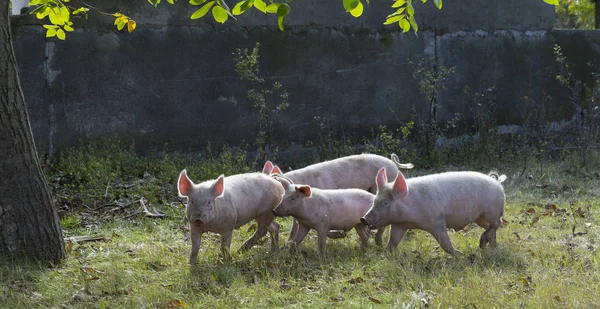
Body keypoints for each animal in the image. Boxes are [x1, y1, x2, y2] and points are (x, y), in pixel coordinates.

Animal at [264, 152, 414, 245]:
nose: (274, 211)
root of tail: (393, 165)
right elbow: (295, 225)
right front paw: (288, 243)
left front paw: (340, 235)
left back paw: (377, 241)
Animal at [360, 168, 506, 255]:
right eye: (374, 201)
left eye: (386, 203)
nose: (363, 218)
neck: (410, 219)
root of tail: (497, 183)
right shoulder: (399, 225)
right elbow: (393, 242)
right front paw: (385, 254)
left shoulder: (437, 221)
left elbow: (444, 242)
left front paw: (460, 254)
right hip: (480, 217)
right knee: (492, 227)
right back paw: (492, 246)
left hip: (491, 211)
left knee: (498, 223)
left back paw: (483, 245)